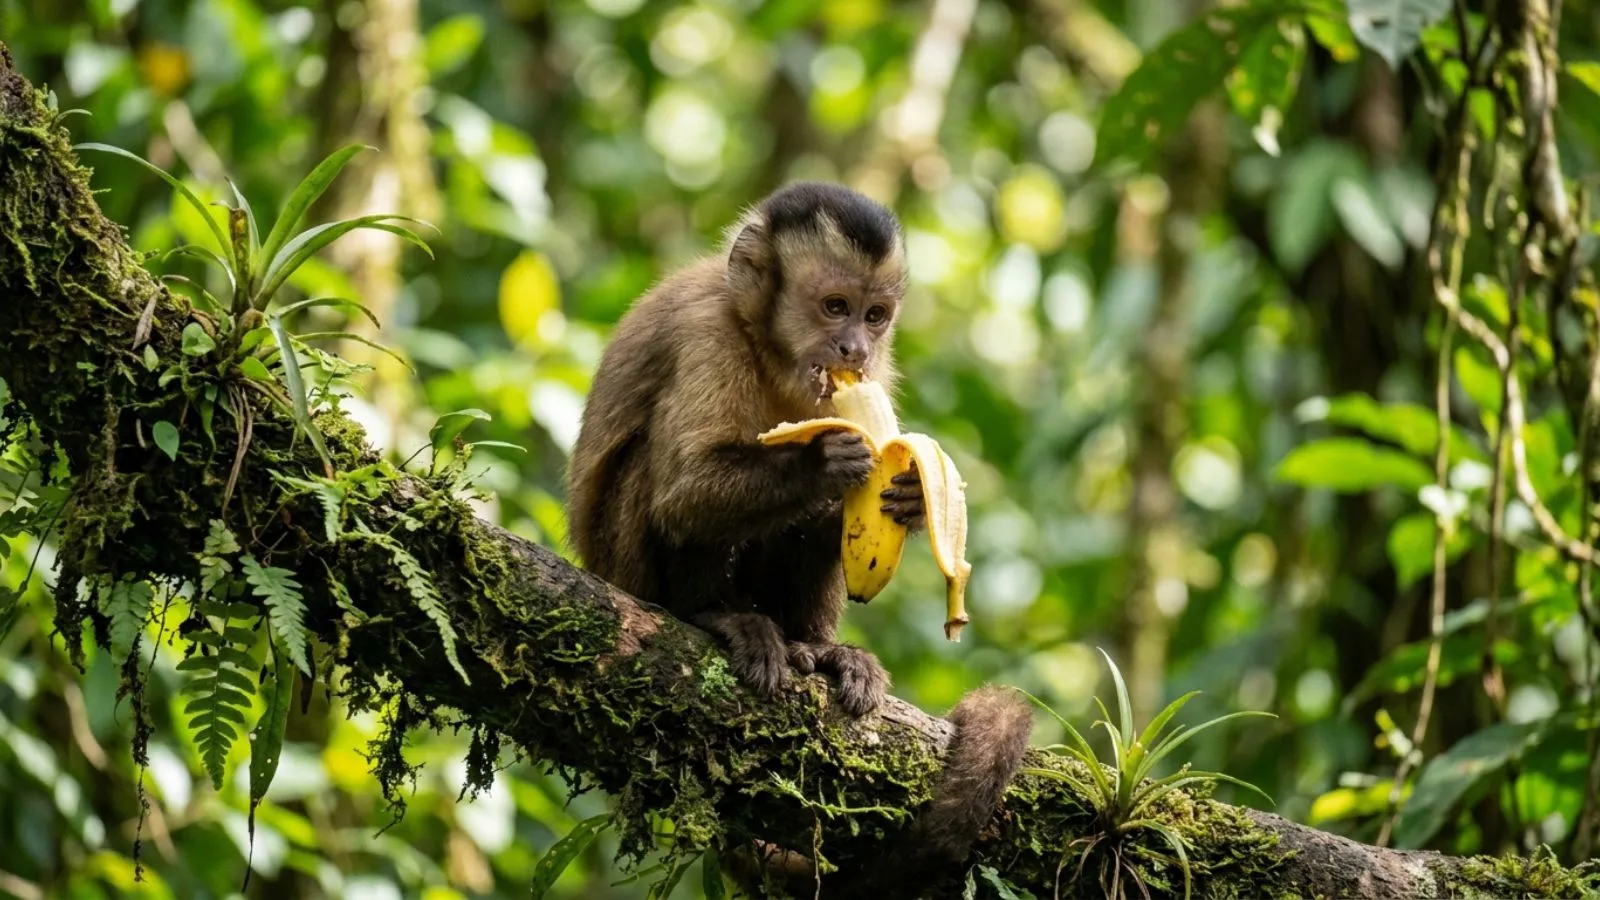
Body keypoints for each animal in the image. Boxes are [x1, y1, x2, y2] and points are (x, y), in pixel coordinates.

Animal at [565, 182, 1033, 895]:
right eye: (834, 307)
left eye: (875, 316)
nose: (854, 350)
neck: (769, 349)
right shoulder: (707, 332)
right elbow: (683, 492)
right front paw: (823, 463)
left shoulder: (876, 376)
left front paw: (909, 497)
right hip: (627, 573)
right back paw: (715, 615)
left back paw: (818, 647)